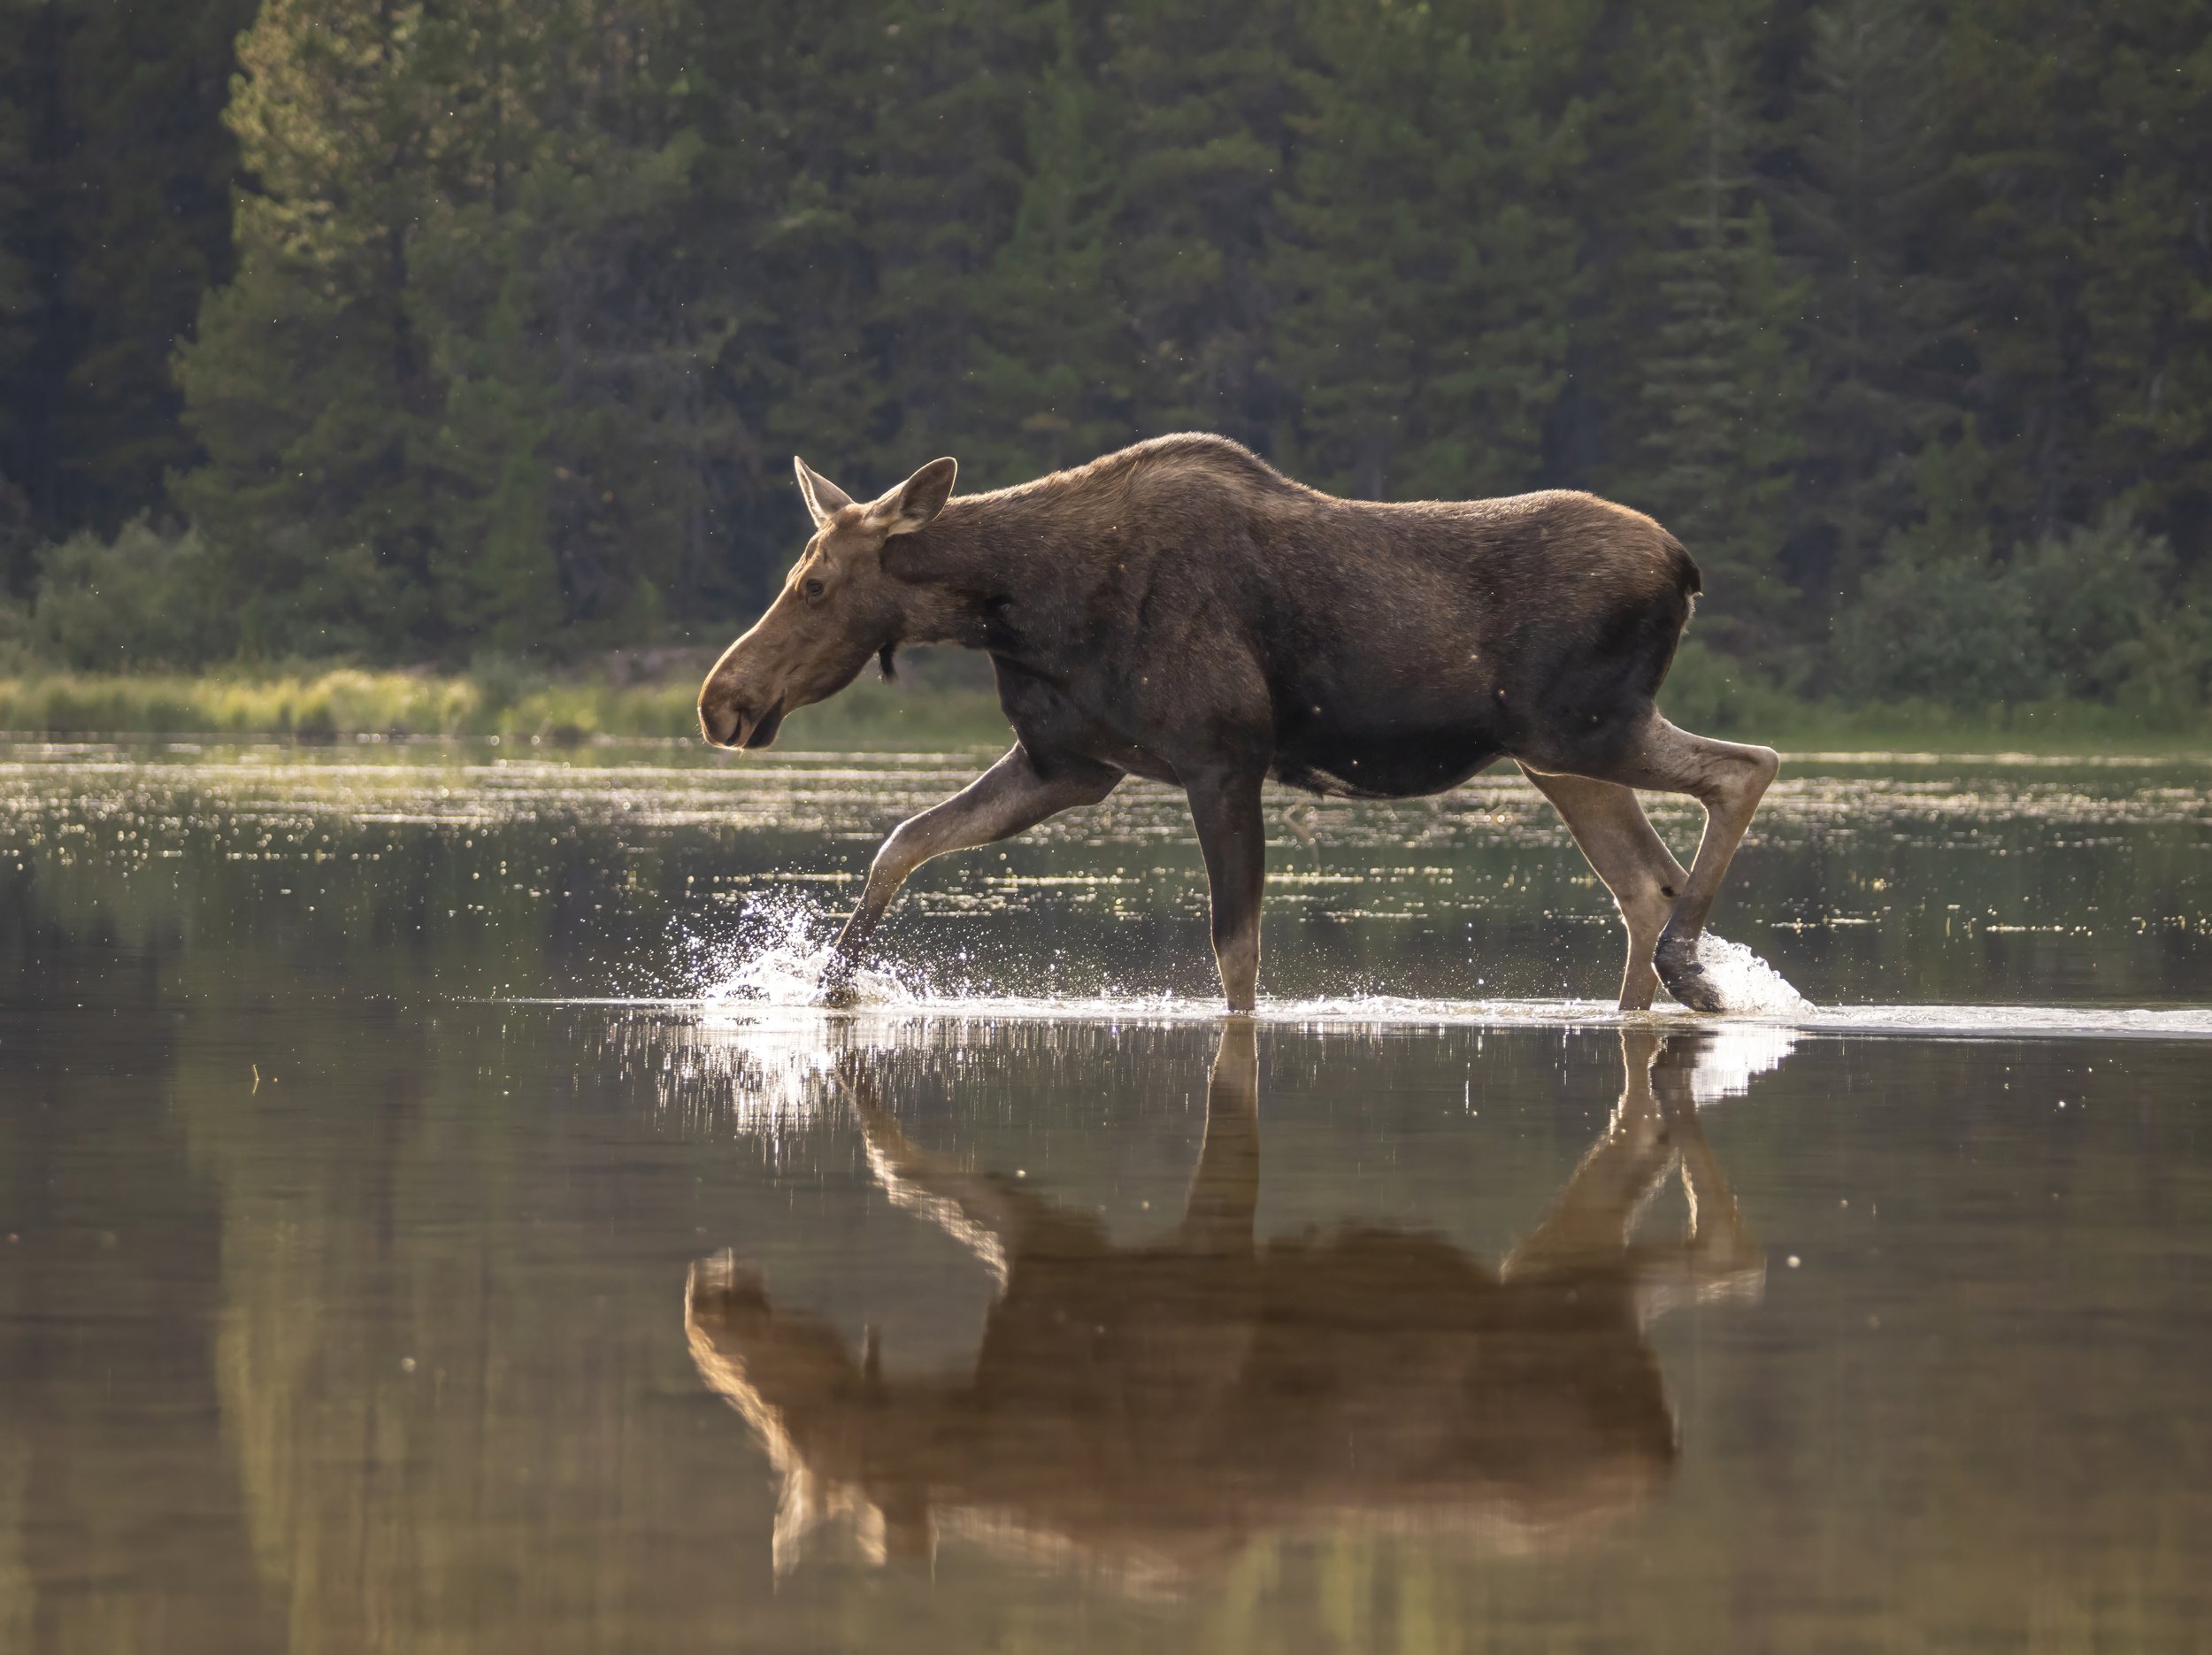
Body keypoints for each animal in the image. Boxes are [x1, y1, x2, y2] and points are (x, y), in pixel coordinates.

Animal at [697, 436, 1780, 1013]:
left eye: (815, 584)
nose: (720, 699)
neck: (1014, 607)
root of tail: (1686, 567)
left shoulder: (1220, 760)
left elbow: (1237, 956)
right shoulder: (1067, 764)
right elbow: (901, 841)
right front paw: (828, 983)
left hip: (1586, 730)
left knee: (1747, 765)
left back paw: (1692, 968)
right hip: (1562, 759)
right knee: (1643, 881)